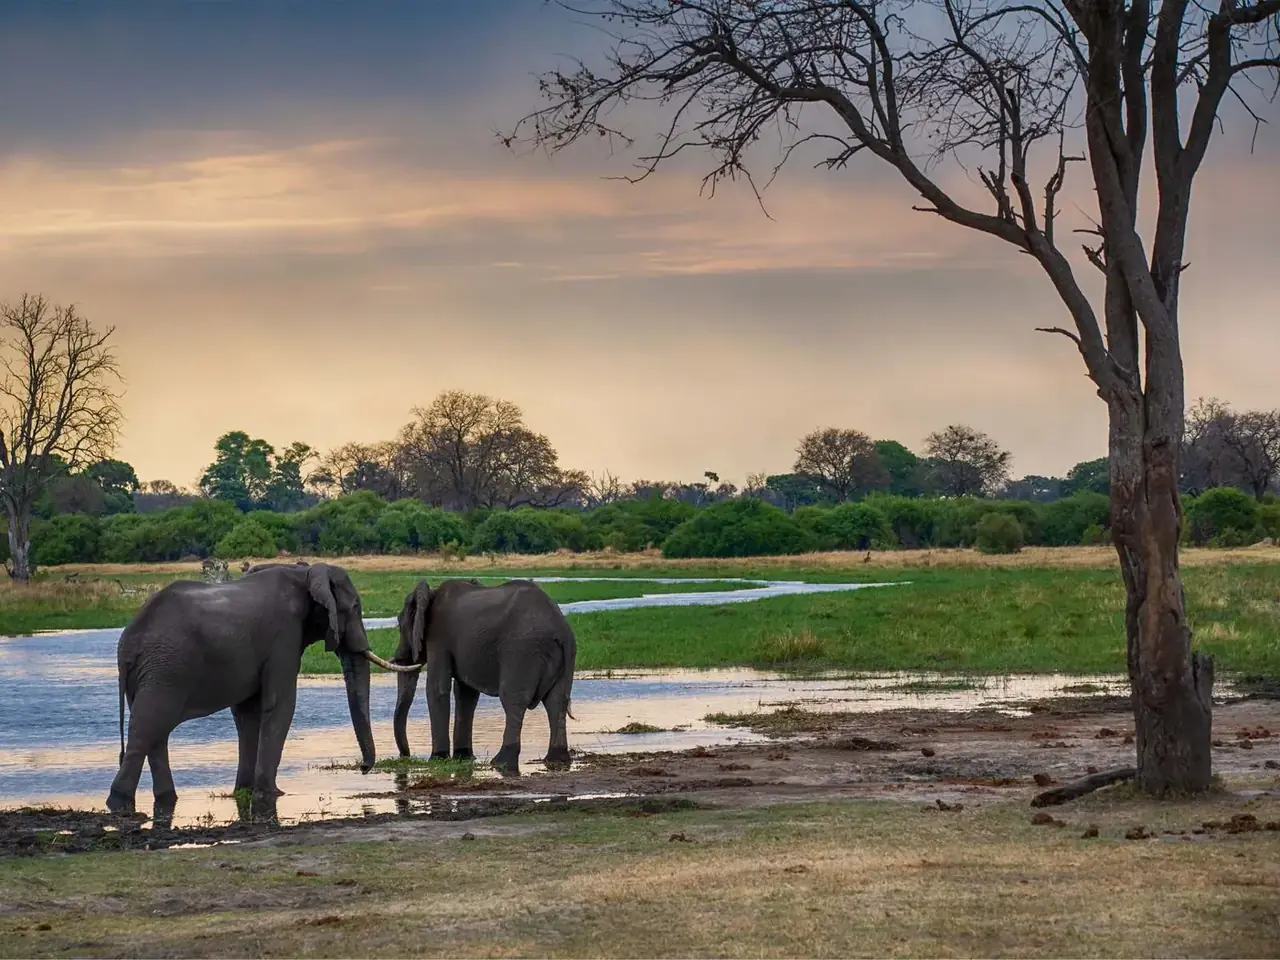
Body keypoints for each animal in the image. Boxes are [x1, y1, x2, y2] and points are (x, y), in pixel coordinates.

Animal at [104, 561, 420, 820]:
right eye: (354, 607)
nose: (364, 769)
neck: (305, 573)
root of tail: (127, 643)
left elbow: (248, 713)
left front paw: (244, 790)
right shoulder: (283, 635)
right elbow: (280, 704)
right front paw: (272, 793)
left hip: (154, 672)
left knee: (155, 732)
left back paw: (166, 798)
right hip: (166, 668)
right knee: (148, 727)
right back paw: (119, 803)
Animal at [390, 578, 577, 776]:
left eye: (400, 625)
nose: (405, 755)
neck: (431, 593)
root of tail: (559, 628)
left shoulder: (438, 637)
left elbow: (437, 688)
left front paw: (438, 758)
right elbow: (466, 694)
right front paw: (463, 756)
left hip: (522, 651)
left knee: (513, 700)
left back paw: (501, 762)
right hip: (566, 652)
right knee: (557, 700)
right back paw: (557, 760)